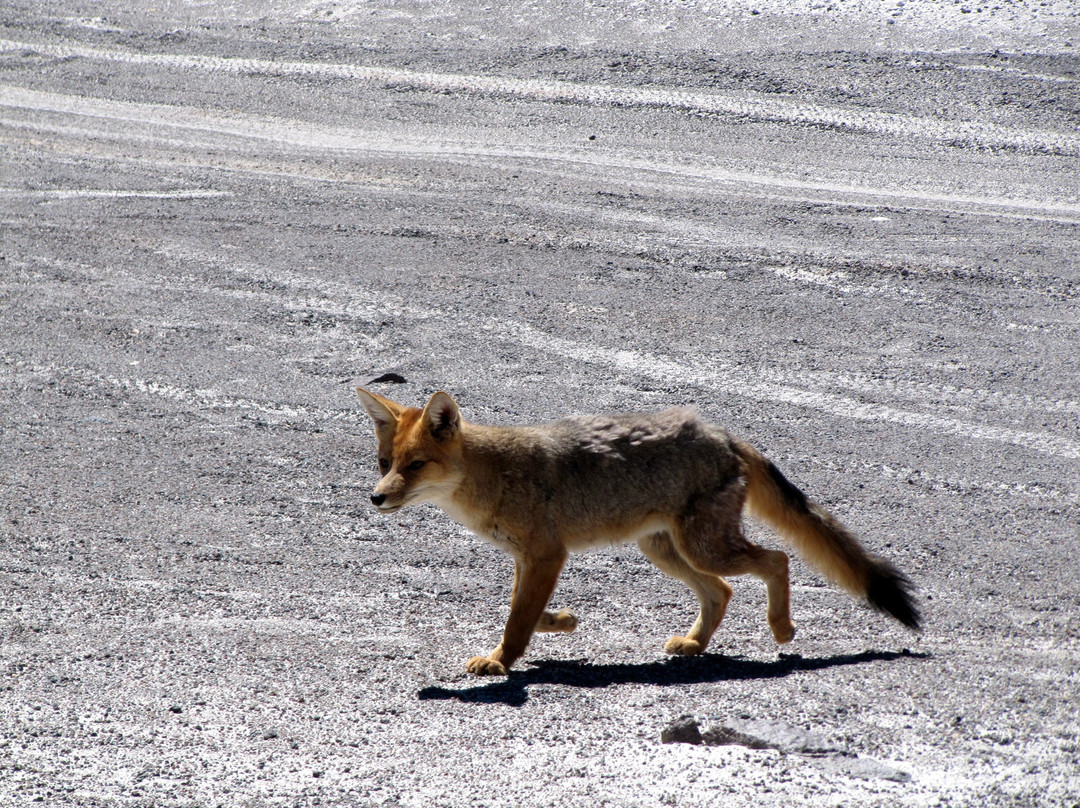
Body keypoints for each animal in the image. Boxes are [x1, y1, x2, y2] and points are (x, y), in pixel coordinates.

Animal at [356, 388, 920, 674]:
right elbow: (525, 611)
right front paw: (561, 622)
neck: (495, 475)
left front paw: (499, 662)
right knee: (722, 592)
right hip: (668, 552)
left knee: (775, 560)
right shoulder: (529, 559)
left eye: (415, 466)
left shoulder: (547, 554)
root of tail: (721, 432)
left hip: (704, 548)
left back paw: (781, 628)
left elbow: (517, 620)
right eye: (385, 463)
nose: (377, 497)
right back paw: (694, 644)